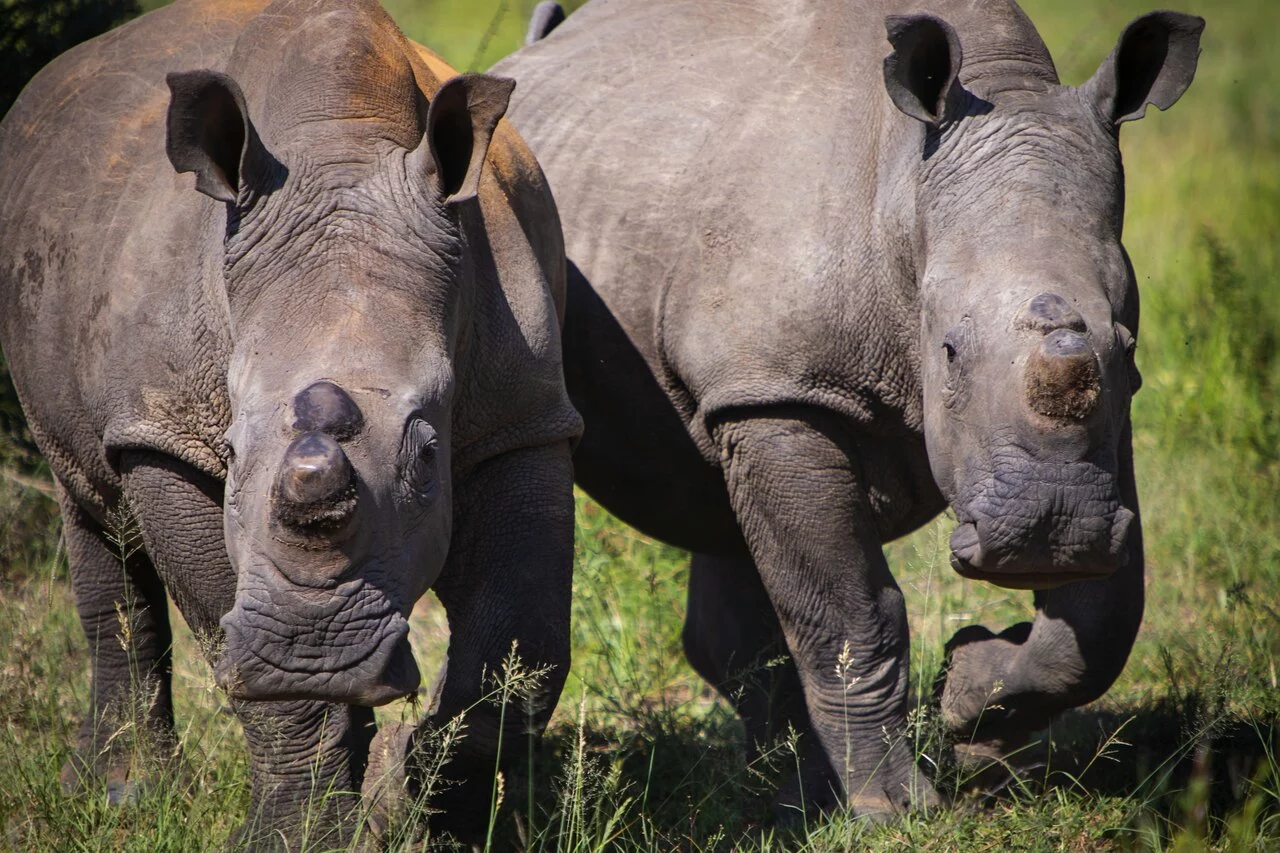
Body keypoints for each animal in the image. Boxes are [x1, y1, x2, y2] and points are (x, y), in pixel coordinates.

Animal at [0, 0, 581, 844]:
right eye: (230, 449)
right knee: (92, 501)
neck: (343, 150)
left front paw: (420, 806)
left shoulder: (523, 415)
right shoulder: (164, 431)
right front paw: (303, 833)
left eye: (428, 451)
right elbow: (235, 639)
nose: (314, 651)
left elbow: (520, 651)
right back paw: (120, 796)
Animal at [496, 0, 1203, 818]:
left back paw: (788, 797)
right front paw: (896, 810)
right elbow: (849, 609)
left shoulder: (1111, 417)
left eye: (1125, 347)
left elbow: (1103, 621)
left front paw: (969, 703)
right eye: (948, 351)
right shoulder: (780, 390)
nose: (1050, 529)